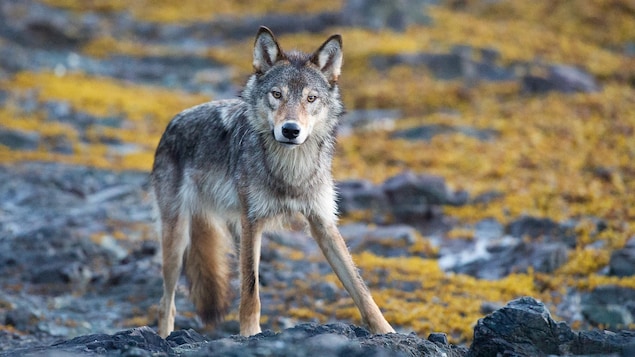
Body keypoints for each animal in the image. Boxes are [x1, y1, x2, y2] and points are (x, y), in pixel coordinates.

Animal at [152, 25, 396, 336]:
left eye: (310, 98)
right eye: (277, 94)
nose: (290, 130)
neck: (291, 169)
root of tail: (172, 123)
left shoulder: (323, 222)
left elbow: (360, 287)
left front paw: (386, 330)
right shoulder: (253, 221)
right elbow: (250, 289)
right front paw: (250, 333)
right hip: (177, 239)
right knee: (166, 304)